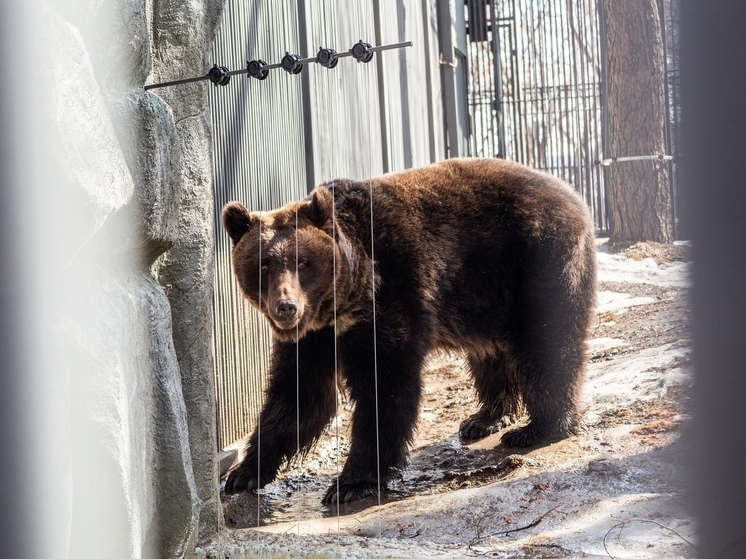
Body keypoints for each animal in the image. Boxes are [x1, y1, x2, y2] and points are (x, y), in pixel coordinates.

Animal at [219, 156, 592, 504]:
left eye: (302, 261)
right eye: (263, 264)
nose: (286, 307)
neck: (343, 300)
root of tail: (573, 195)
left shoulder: (392, 292)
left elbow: (384, 384)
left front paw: (351, 482)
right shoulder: (313, 337)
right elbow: (298, 394)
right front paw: (243, 473)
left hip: (537, 260)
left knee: (545, 343)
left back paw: (540, 428)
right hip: (486, 296)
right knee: (490, 352)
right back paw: (485, 417)